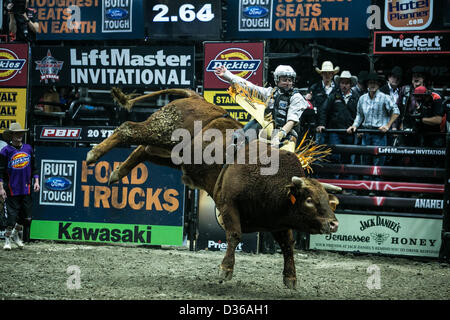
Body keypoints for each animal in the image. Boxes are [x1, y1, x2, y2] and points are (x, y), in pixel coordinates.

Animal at [86, 88, 342, 290]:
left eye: (326, 199)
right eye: (309, 199)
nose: (333, 224)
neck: (273, 182)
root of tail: (195, 97)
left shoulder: (277, 221)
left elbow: (288, 245)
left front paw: (290, 278)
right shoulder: (227, 204)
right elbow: (234, 234)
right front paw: (225, 270)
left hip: (173, 155)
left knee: (143, 150)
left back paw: (116, 173)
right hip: (162, 130)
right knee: (128, 129)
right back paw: (94, 154)